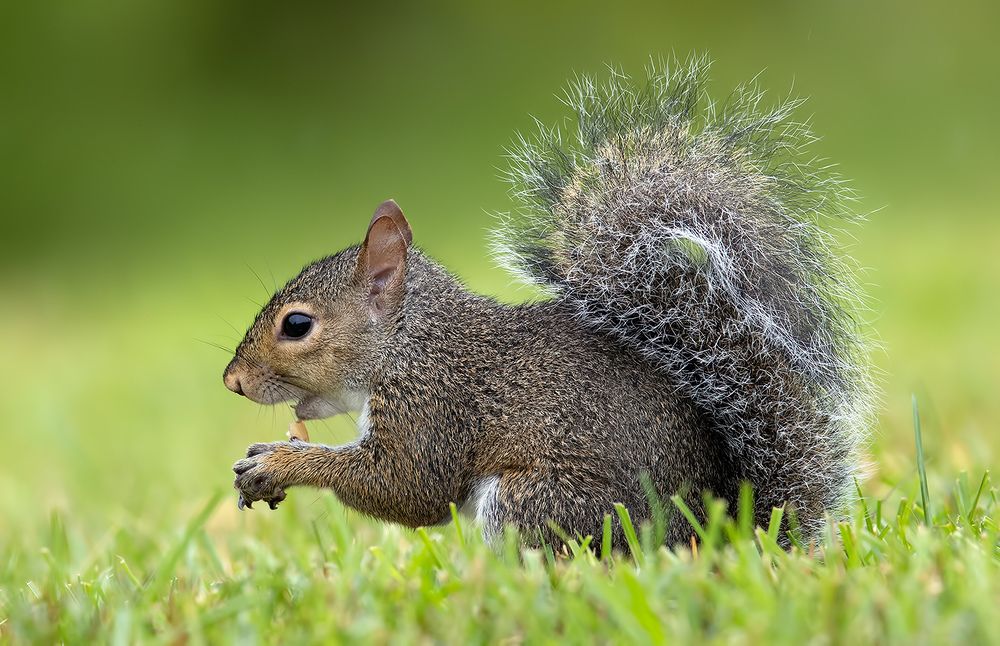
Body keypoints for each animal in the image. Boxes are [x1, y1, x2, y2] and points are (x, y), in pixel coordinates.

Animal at [223, 57, 872, 549]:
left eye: (297, 325)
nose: (232, 381)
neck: (410, 341)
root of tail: (722, 538)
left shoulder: (436, 409)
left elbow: (406, 487)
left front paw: (278, 463)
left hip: (536, 502)